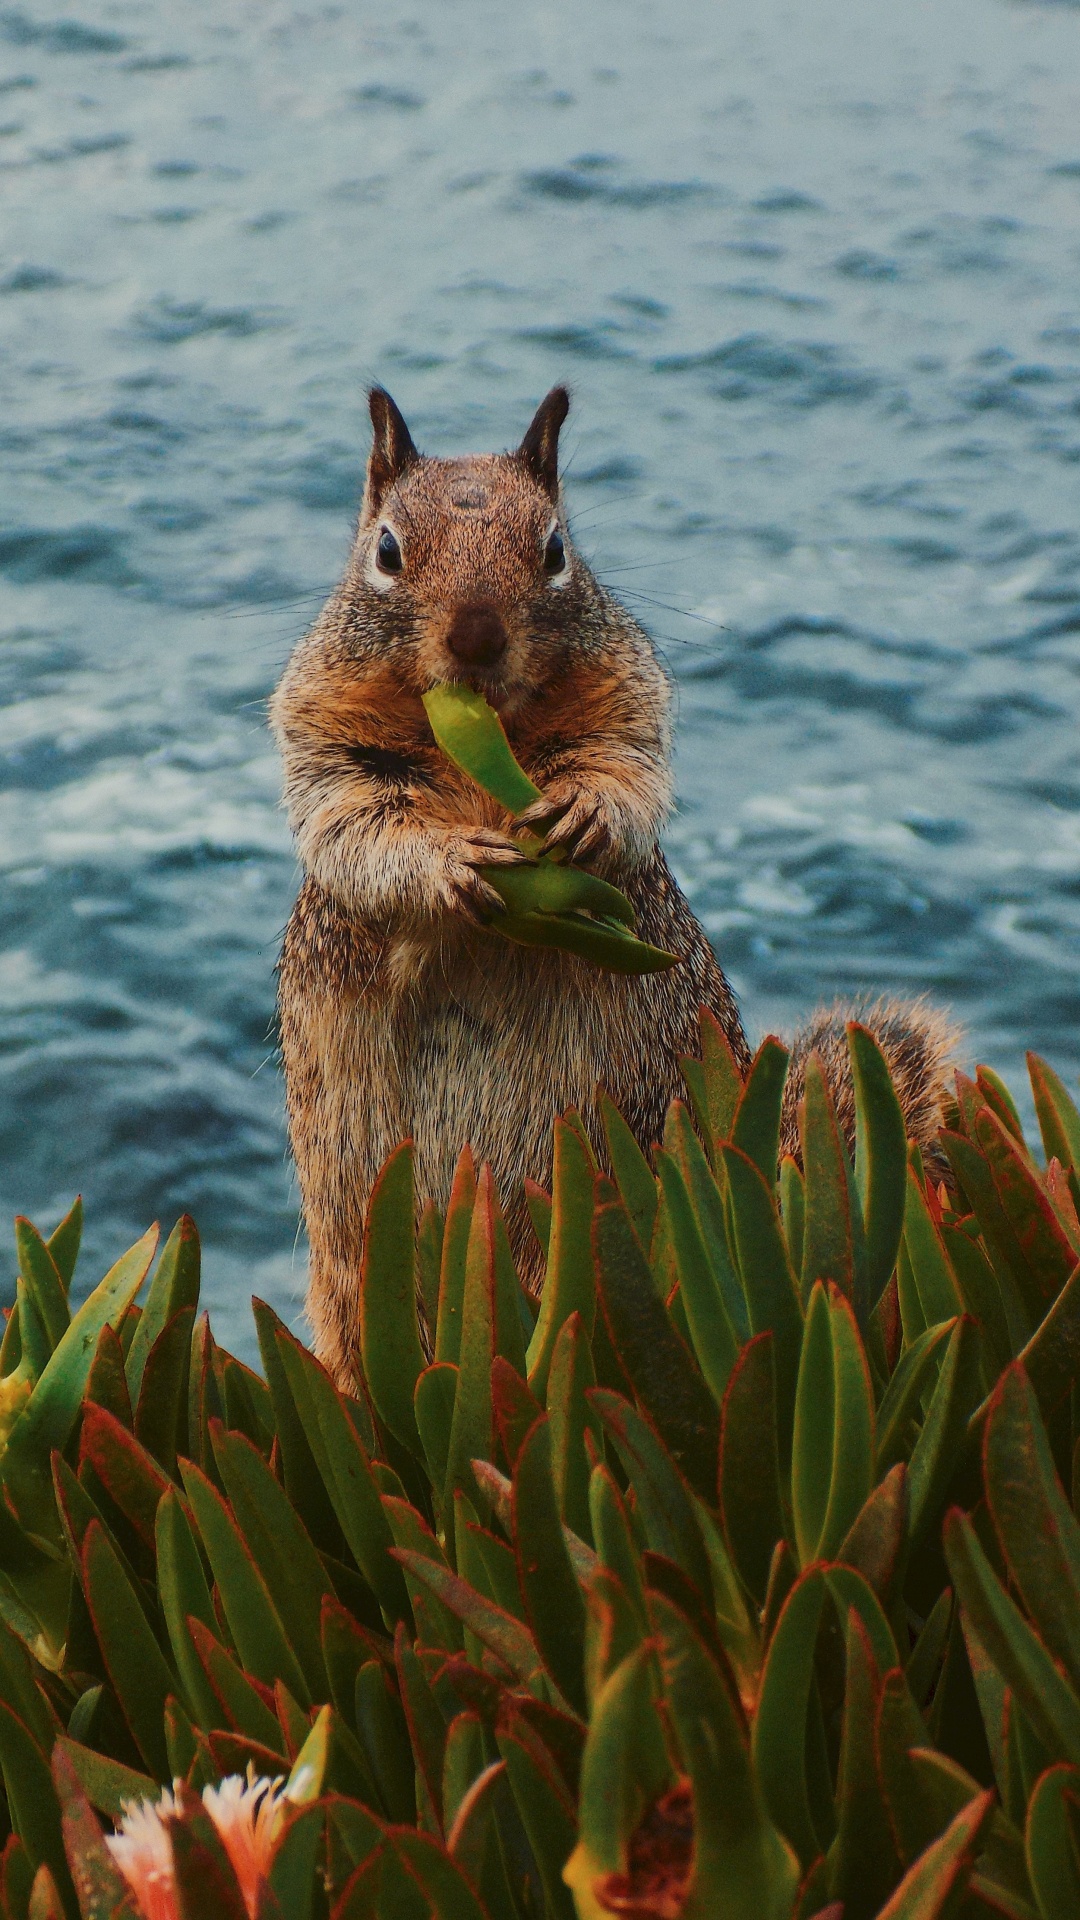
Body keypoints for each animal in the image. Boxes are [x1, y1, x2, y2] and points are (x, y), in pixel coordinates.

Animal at [271, 386, 959, 1388]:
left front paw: (585, 815)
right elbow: (352, 825)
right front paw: (450, 865)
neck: (482, 744)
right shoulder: (324, 740)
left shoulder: (629, 701)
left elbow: (627, 772)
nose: (477, 634)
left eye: (556, 549)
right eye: (387, 551)